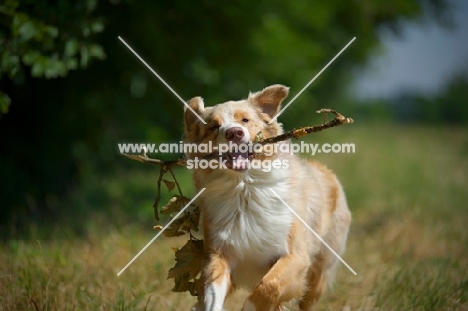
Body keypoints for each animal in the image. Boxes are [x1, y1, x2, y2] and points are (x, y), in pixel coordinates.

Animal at [183, 85, 352, 311]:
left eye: (245, 120)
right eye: (212, 127)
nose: (234, 132)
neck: (245, 188)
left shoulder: (296, 256)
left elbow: (267, 287)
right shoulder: (218, 253)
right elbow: (212, 293)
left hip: (319, 272)